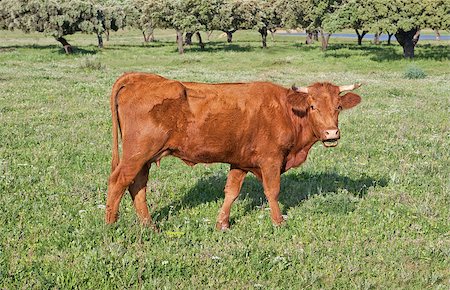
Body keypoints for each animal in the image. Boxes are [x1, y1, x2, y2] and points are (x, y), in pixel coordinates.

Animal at [105, 73, 362, 230]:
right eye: (312, 106)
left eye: (338, 107)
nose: (331, 133)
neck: (286, 111)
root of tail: (141, 77)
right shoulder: (271, 159)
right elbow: (272, 191)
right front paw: (278, 222)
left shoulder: (240, 162)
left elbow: (231, 192)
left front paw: (222, 224)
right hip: (137, 153)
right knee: (118, 181)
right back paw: (111, 224)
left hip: (145, 158)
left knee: (137, 186)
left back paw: (149, 226)